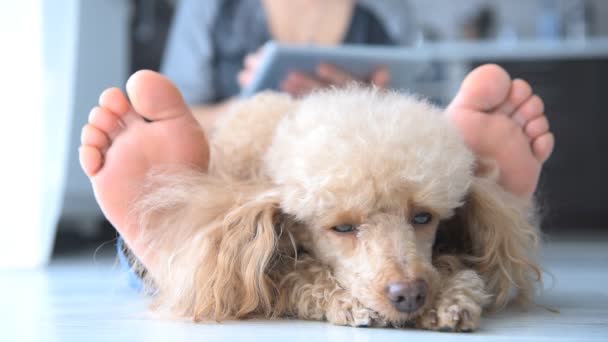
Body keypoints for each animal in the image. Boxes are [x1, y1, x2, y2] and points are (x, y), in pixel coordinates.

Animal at [133, 85, 540, 332]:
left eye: (423, 217)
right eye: (342, 228)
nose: (409, 295)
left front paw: (451, 297)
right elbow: (299, 274)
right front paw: (346, 301)